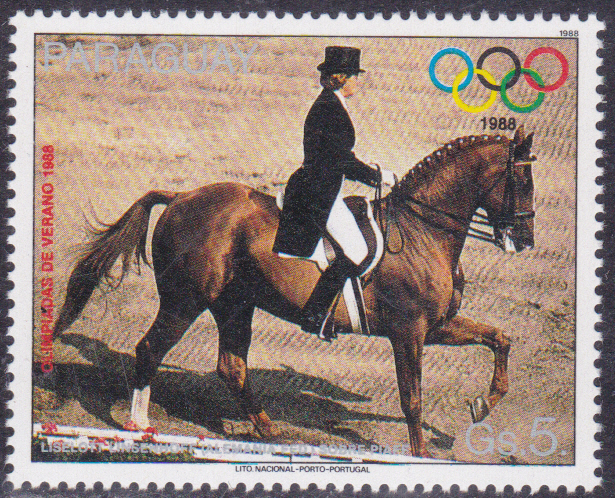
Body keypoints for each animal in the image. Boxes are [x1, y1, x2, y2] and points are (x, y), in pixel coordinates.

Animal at [53, 126, 536, 458]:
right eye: (523, 182)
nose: (526, 240)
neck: (423, 231)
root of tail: (180, 197)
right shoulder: (409, 332)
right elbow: (412, 400)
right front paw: (419, 455)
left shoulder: (437, 326)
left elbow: (501, 338)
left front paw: (482, 405)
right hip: (184, 301)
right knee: (150, 349)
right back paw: (140, 428)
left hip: (234, 305)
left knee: (231, 366)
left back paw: (269, 430)